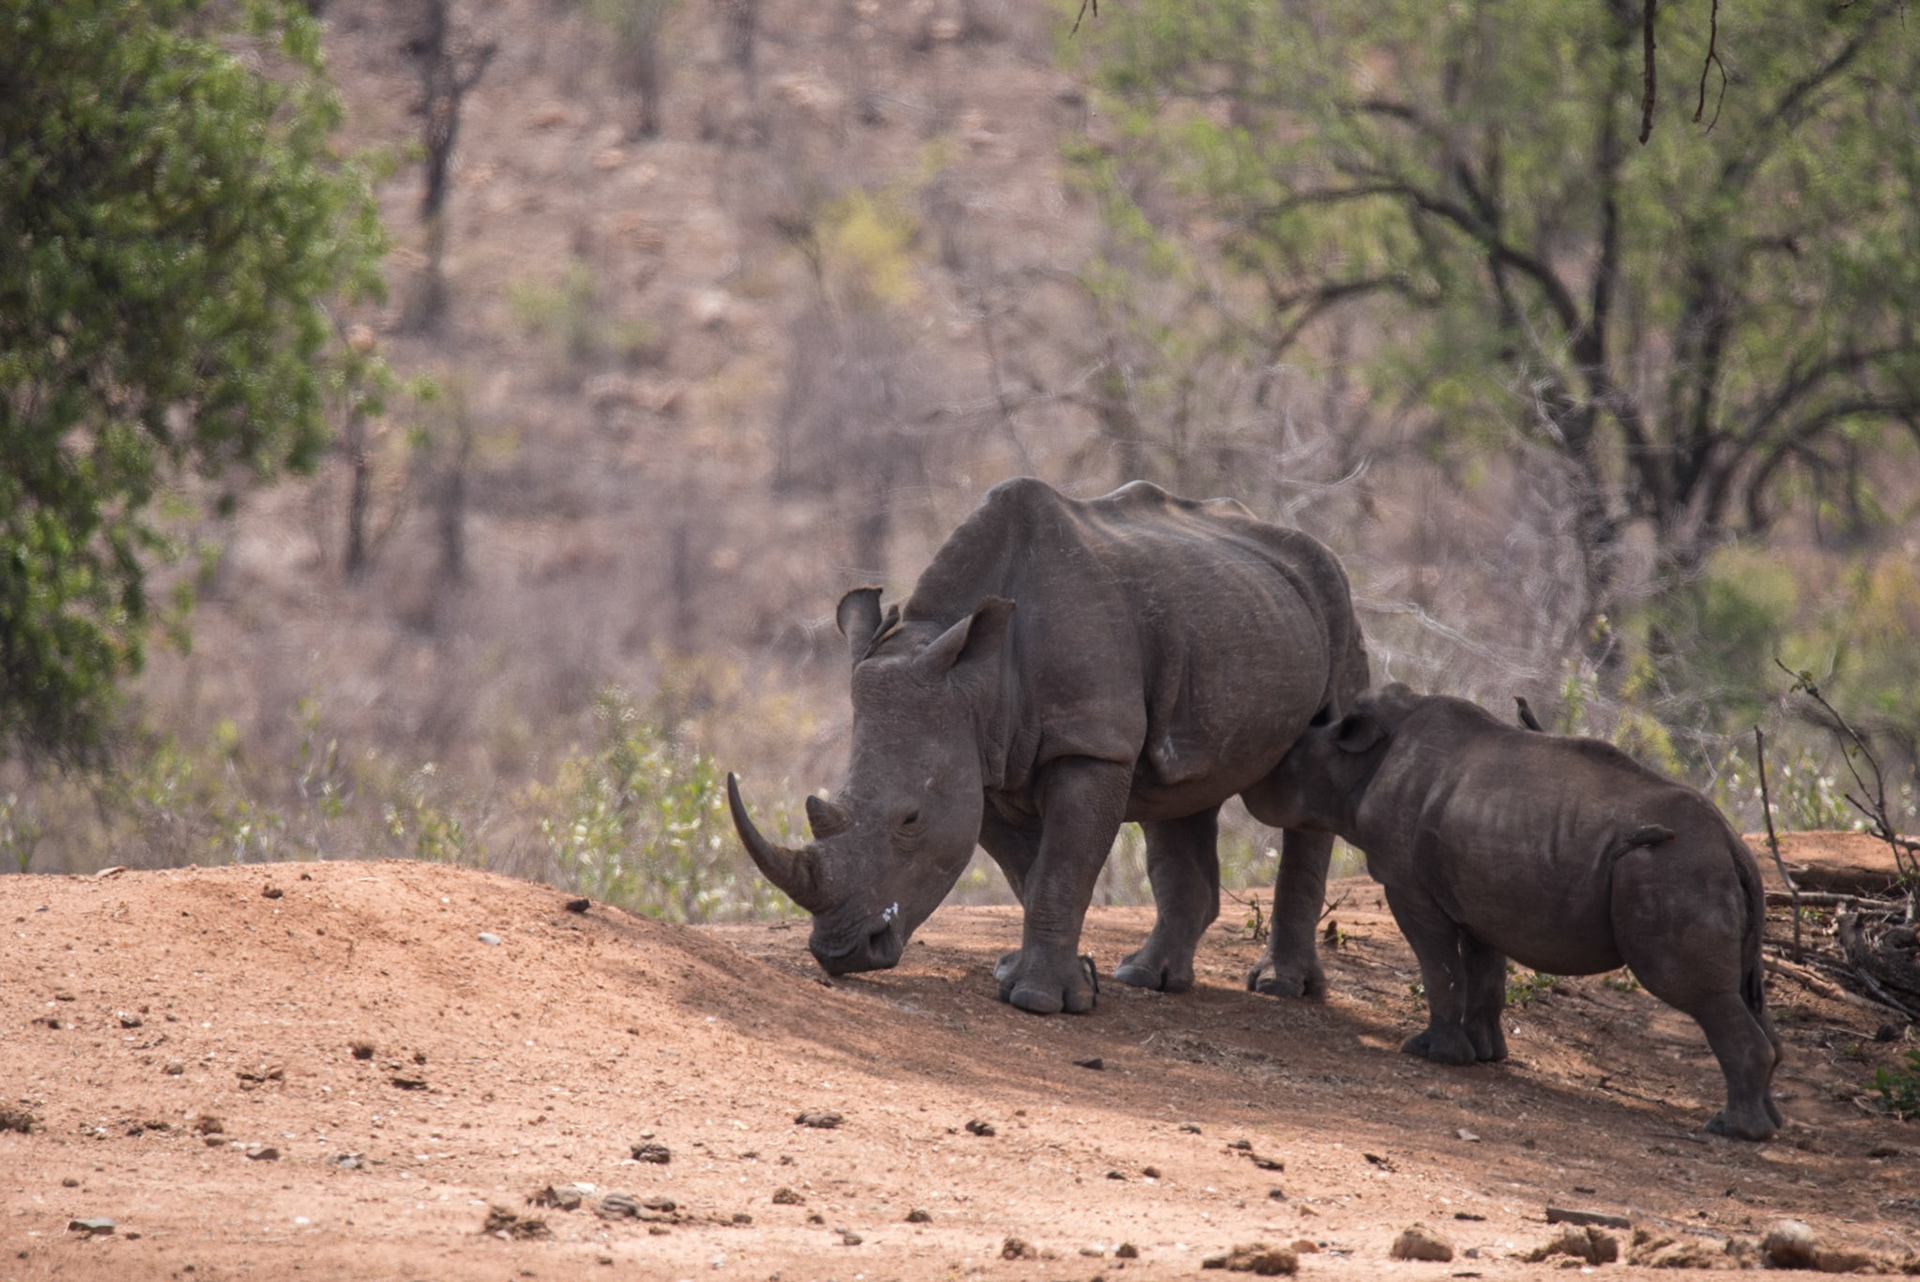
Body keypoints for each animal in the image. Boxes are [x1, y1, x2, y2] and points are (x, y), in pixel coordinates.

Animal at [727, 478, 1369, 1015]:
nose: (841, 953)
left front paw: (1039, 1001)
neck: (973, 675)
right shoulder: (978, 756)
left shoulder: (1091, 745)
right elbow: (1030, 871)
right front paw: (1064, 980)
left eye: (910, 820)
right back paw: (1146, 977)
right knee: (1181, 790)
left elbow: (1061, 867)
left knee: (1314, 768)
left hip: (1335, 597)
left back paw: (1281, 989)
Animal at [1260, 682, 1782, 1140]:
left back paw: (1732, 1131)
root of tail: (1733, 846)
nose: (1255, 789)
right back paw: (1767, 1125)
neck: (1358, 761)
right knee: (1745, 992)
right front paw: (1486, 1054)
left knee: (1697, 992)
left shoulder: (1407, 885)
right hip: (1704, 873)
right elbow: (1484, 969)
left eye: (1285, 771)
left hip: (1674, 869)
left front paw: (1432, 1053)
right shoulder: (1478, 889)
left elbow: (1438, 964)